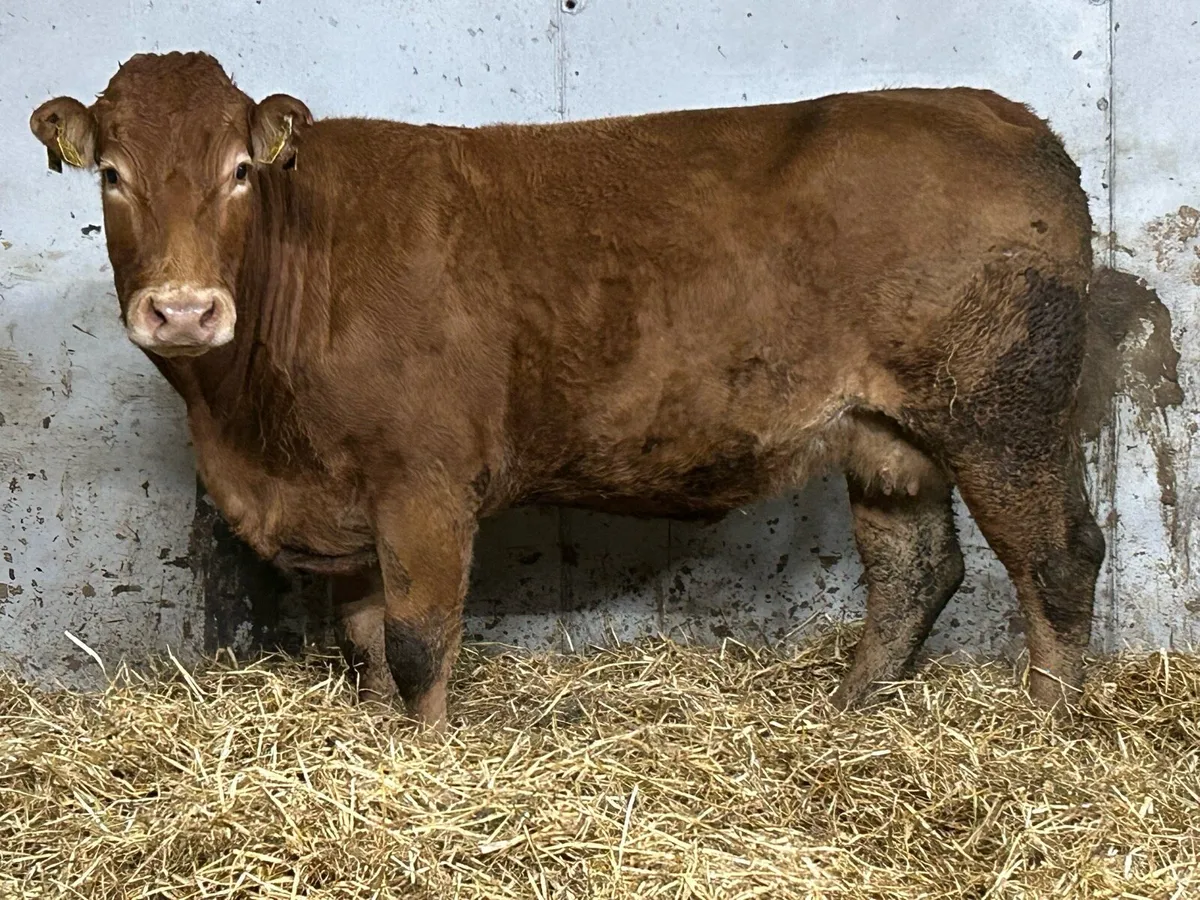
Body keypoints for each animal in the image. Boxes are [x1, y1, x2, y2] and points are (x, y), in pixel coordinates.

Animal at [31, 52, 1105, 729]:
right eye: (112, 174)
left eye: (240, 171)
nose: (182, 311)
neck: (246, 429)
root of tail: (1009, 119)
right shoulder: (346, 500)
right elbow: (366, 641)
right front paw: (375, 745)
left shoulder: (423, 484)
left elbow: (419, 640)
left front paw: (427, 758)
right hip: (889, 432)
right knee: (917, 569)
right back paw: (851, 712)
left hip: (1004, 414)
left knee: (1056, 559)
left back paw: (1044, 729)